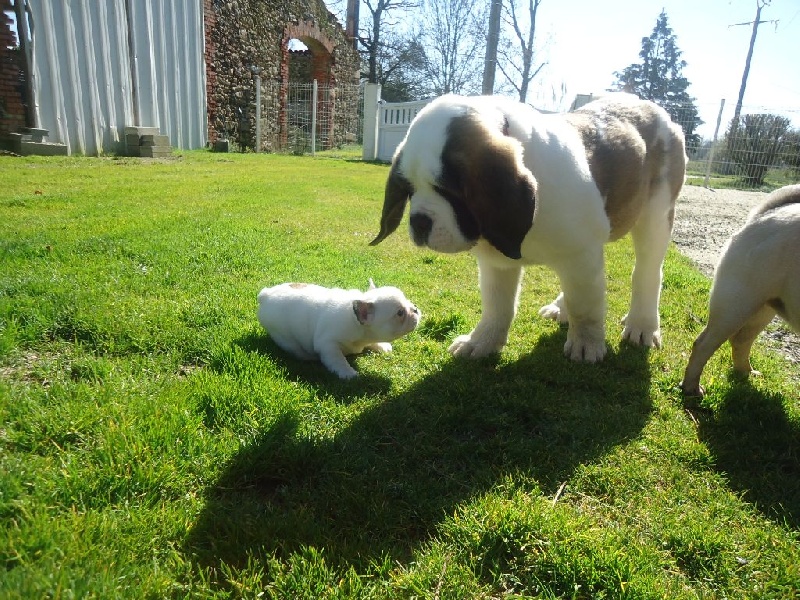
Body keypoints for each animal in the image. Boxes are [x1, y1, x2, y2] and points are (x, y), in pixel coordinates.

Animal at [257, 280, 421, 379]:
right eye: (400, 313)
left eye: (409, 302)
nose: (415, 308)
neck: (355, 322)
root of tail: (265, 295)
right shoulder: (328, 345)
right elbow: (338, 359)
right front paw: (347, 373)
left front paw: (382, 345)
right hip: (284, 336)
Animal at [370, 94, 686, 362]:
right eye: (409, 189)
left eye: (449, 191)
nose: (419, 221)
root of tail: (645, 103)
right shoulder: (499, 264)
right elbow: (497, 306)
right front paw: (481, 342)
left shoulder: (581, 254)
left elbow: (585, 306)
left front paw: (587, 345)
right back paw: (561, 307)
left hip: (655, 216)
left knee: (647, 272)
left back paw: (642, 325)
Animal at [681, 184, 800, 397]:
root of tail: (766, 213)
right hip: (736, 307)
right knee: (704, 344)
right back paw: (691, 387)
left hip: (762, 309)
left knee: (741, 341)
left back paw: (745, 372)